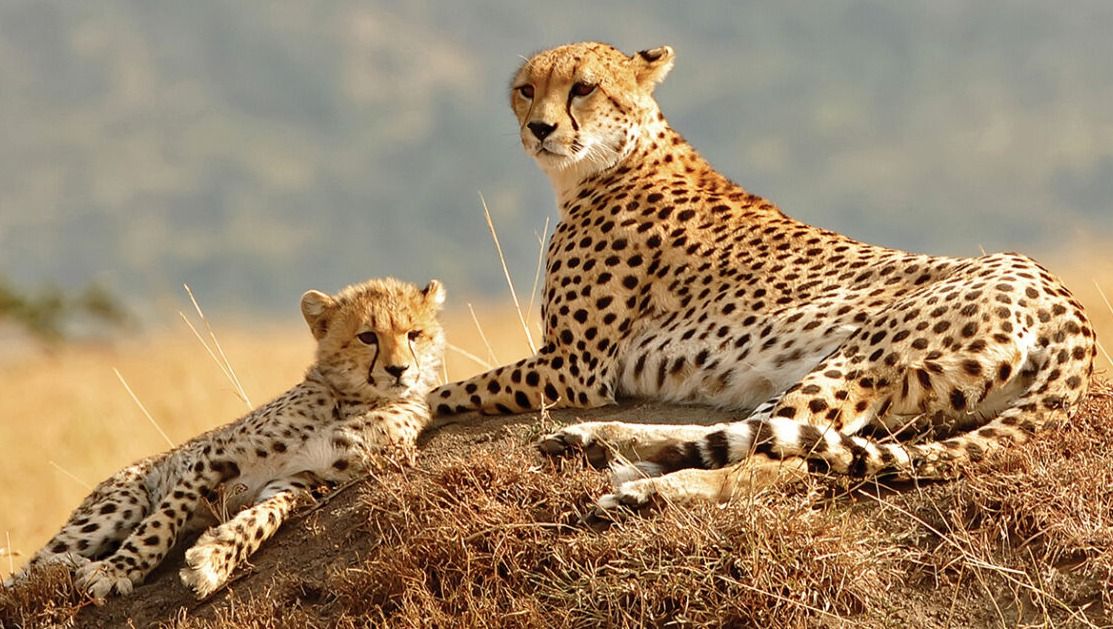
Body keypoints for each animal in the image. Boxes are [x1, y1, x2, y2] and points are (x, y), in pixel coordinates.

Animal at [10, 277, 446, 599]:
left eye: (414, 334)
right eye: (367, 337)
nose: (399, 370)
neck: (353, 401)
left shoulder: (303, 480)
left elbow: (261, 519)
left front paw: (215, 558)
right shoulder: (214, 456)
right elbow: (162, 521)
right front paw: (118, 569)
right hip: (121, 501)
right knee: (23, 573)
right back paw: (67, 565)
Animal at [430, 41, 1097, 516]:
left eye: (583, 88)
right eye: (526, 90)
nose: (539, 128)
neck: (615, 158)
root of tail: (1066, 303)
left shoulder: (574, 365)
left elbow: (447, 389)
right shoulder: (570, 364)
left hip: (861, 356)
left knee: (782, 460)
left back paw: (649, 488)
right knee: (759, 433)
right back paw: (601, 444)